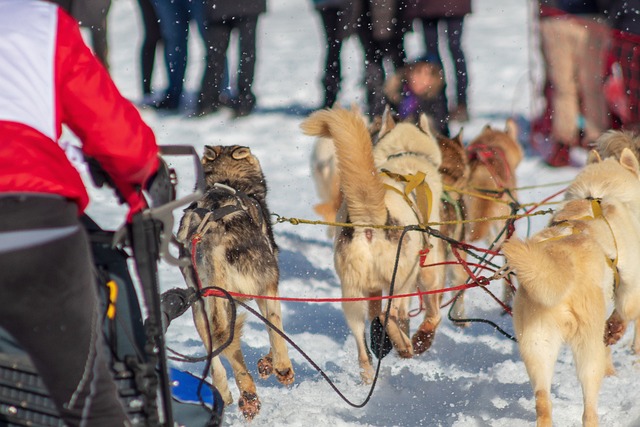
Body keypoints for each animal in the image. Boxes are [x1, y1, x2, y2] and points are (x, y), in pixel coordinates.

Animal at [176, 145, 294, 420]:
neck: (228, 182)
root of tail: (212, 235)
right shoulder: (264, 290)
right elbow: (274, 329)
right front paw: (271, 363)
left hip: (202, 307)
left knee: (219, 347)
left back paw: (243, 393)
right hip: (265, 280)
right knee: (275, 327)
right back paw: (282, 367)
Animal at [302, 107, 444, 384]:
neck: (403, 155)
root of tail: (370, 218)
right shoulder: (429, 270)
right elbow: (433, 315)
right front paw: (421, 339)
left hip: (353, 295)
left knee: (364, 337)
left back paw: (369, 372)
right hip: (400, 281)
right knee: (389, 314)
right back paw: (404, 346)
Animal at [502, 148, 640, 427]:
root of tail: (559, 263)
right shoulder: (632, 280)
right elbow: (625, 311)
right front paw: (616, 331)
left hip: (536, 346)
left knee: (543, 401)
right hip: (587, 348)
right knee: (589, 407)